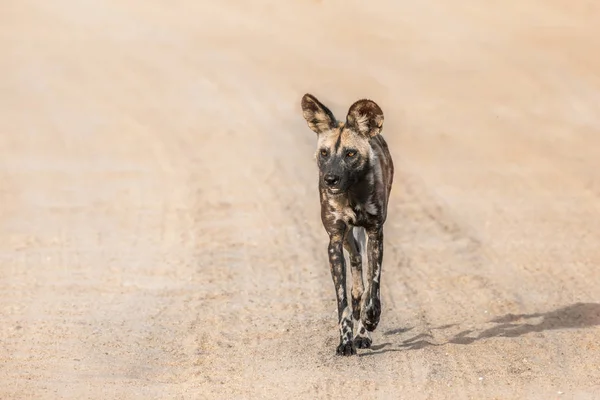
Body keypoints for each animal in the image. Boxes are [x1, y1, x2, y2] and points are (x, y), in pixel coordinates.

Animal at [300, 94, 394, 356]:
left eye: (350, 154)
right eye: (324, 153)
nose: (330, 179)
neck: (352, 193)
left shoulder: (376, 233)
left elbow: (374, 286)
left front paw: (370, 321)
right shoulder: (334, 241)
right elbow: (342, 301)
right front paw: (345, 341)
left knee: (366, 282)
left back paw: (364, 331)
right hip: (348, 241)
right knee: (356, 273)